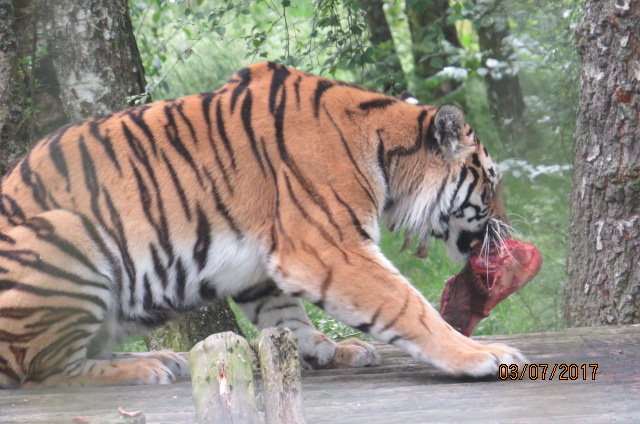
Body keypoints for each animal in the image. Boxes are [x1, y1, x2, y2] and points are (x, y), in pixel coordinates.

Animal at [0, 61, 524, 389]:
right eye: (492, 182)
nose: (509, 229)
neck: (386, 153)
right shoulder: (329, 247)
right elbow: (406, 305)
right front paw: (482, 356)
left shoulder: (262, 261)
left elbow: (285, 315)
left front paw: (326, 350)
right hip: (66, 236)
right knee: (41, 370)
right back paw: (144, 368)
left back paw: (161, 358)